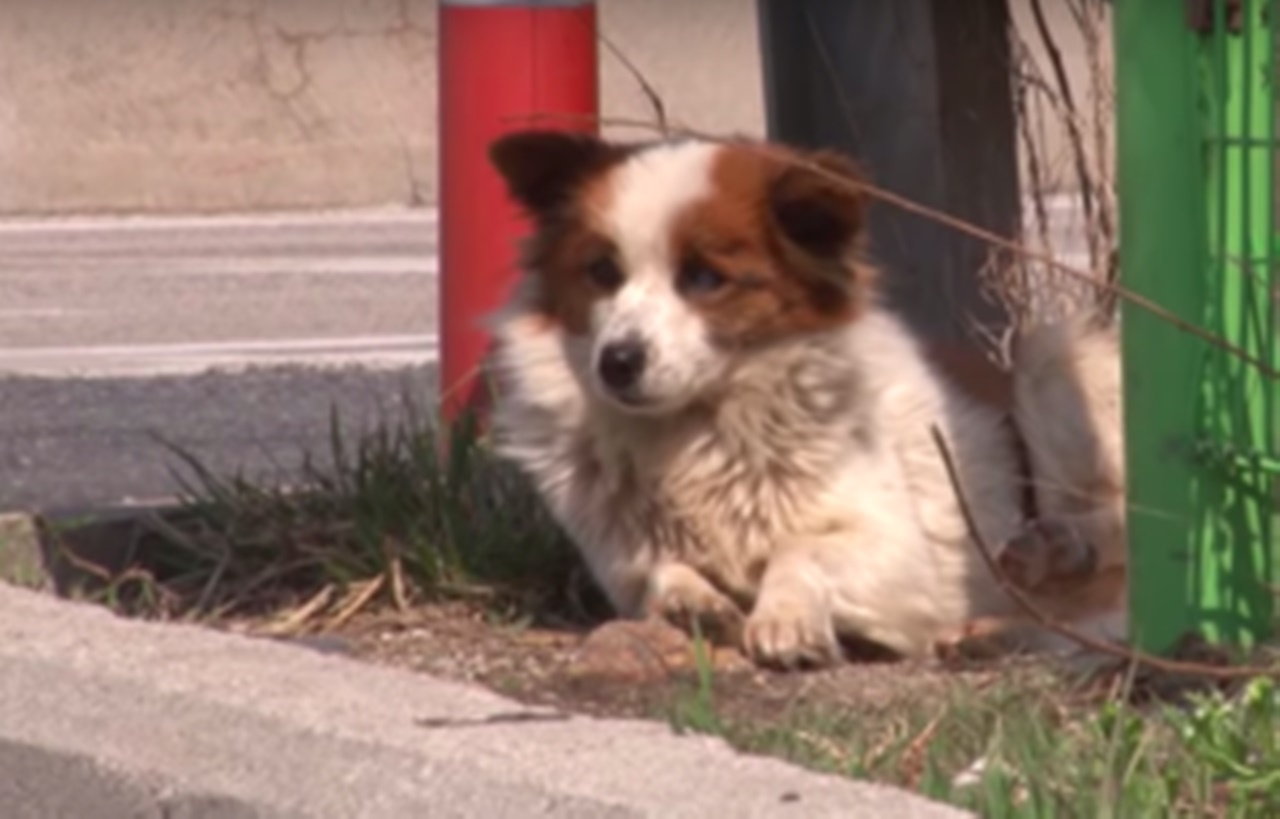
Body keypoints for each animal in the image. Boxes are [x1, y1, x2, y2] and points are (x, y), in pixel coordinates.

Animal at [483, 127, 1126, 665]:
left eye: (704, 277)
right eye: (601, 272)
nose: (616, 363)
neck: (701, 431)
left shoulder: (905, 556)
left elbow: (799, 547)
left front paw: (786, 618)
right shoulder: (620, 565)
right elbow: (659, 570)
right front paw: (694, 602)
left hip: (1051, 360)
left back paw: (1057, 550)